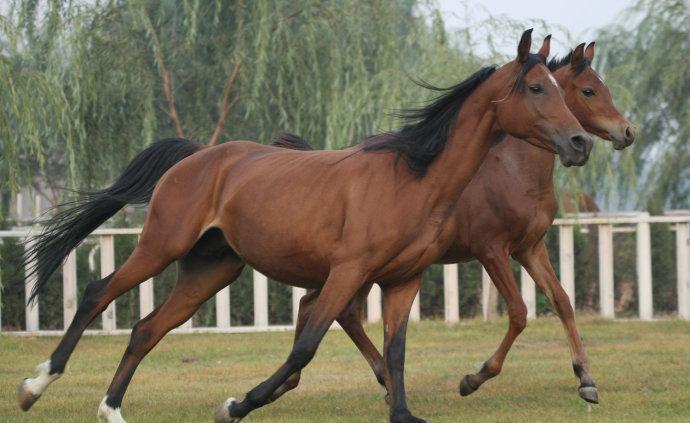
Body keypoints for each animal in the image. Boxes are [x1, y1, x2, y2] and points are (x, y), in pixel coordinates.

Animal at [18, 30, 591, 423]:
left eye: (564, 91)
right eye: (537, 87)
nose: (581, 142)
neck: (412, 179)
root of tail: (199, 155)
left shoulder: (402, 281)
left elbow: (396, 351)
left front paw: (402, 410)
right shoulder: (348, 272)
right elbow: (307, 345)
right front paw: (237, 404)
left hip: (211, 270)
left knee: (145, 329)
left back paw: (111, 408)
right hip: (162, 244)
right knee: (97, 293)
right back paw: (35, 386)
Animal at [271, 42, 635, 406]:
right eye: (588, 90)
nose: (627, 132)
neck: (514, 170)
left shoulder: (530, 248)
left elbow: (562, 301)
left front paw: (586, 379)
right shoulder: (491, 250)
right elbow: (518, 312)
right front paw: (473, 378)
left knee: (318, 306)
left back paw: (298, 381)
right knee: (338, 310)